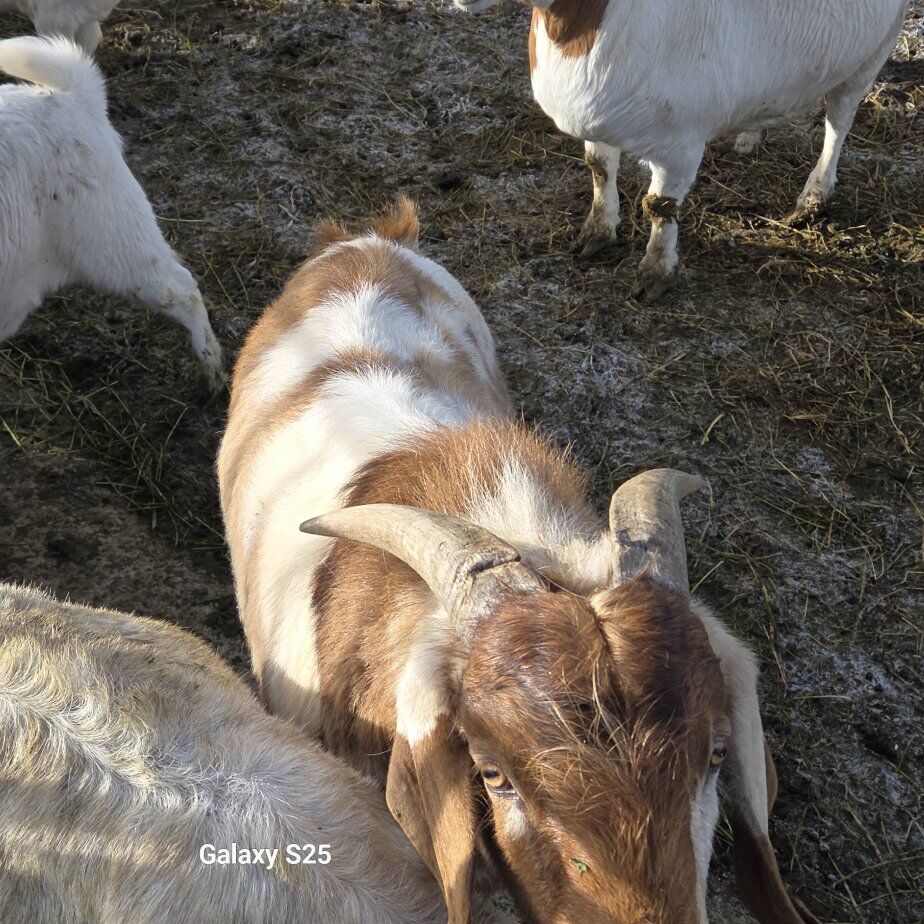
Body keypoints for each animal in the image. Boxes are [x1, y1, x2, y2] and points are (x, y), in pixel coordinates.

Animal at [455, 0, 909, 299]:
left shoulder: (680, 143)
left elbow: (659, 207)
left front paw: (655, 273)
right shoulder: (599, 117)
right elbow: (598, 168)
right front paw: (596, 233)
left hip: (871, 52)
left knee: (839, 121)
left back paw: (812, 198)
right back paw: (748, 136)